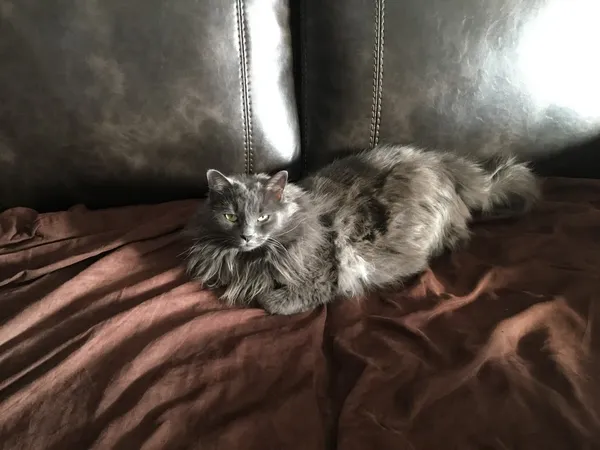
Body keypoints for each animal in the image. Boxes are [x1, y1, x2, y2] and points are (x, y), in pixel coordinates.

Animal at [184, 146, 540, 314]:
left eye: (262, 218)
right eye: (231, 217)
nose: (246, 235)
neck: (250, 260)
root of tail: (444, 164)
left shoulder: (322, 273)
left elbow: (270, 300)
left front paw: (265, 296)